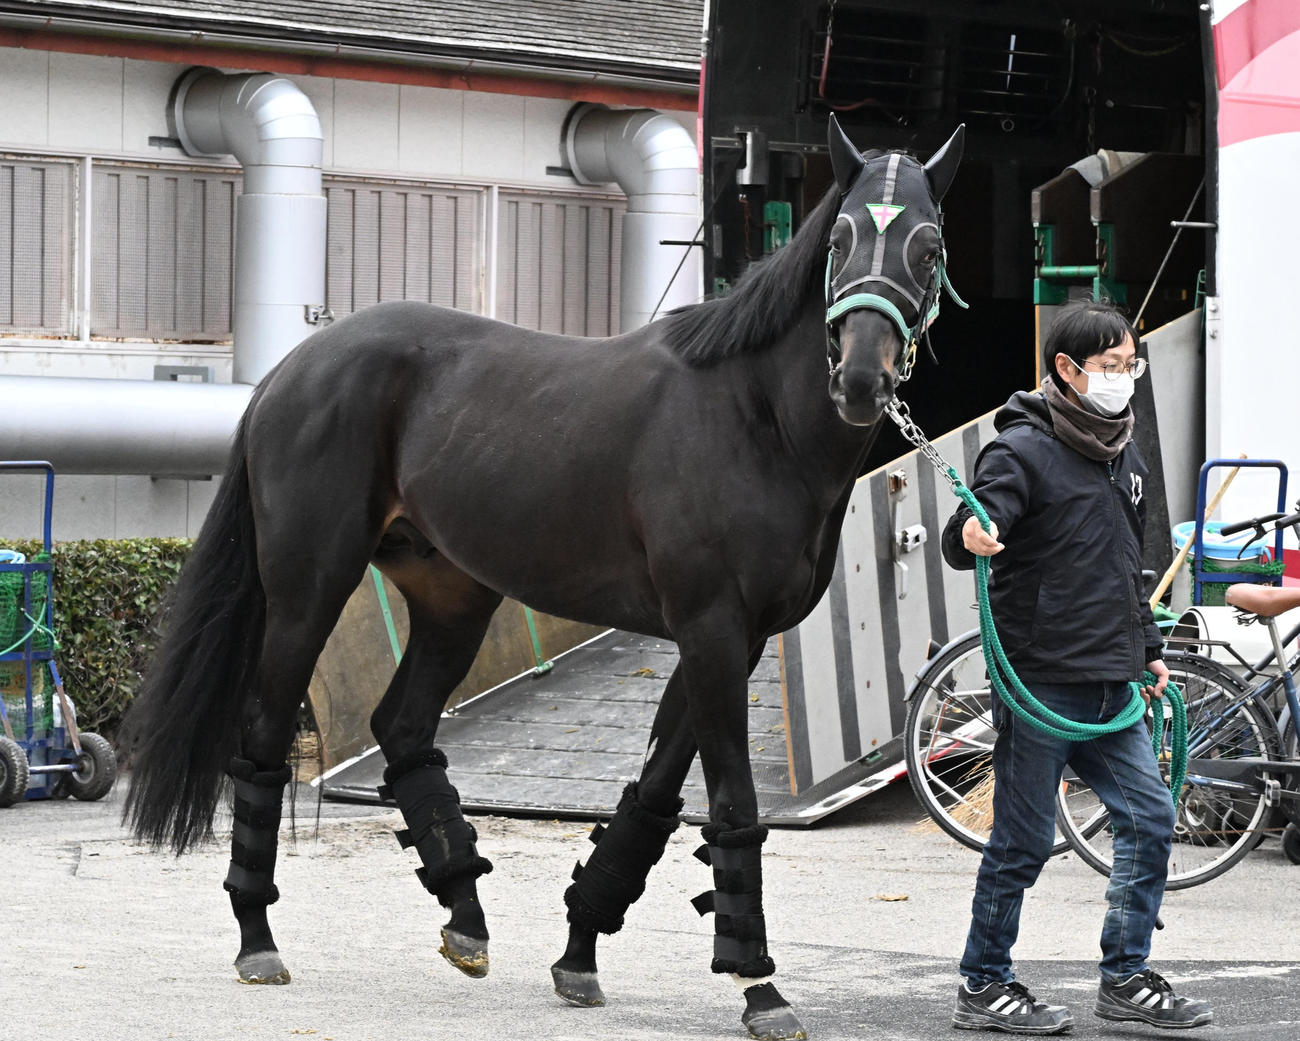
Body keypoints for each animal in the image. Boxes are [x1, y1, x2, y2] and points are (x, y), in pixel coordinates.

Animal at [122, 114, 965, 1041]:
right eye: (840, 237)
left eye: (927, 246)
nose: (861, 379)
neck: (756, 418)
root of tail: (291, 368)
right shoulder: (710, 630)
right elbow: (733, 805)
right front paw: (760, 986)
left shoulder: (730, 642)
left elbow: (652, 799)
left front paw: (580, 953)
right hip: (308, 592)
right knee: (266, 738)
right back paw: (258, 938)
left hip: (454, 598)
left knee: (403, 726)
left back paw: (465, 916)